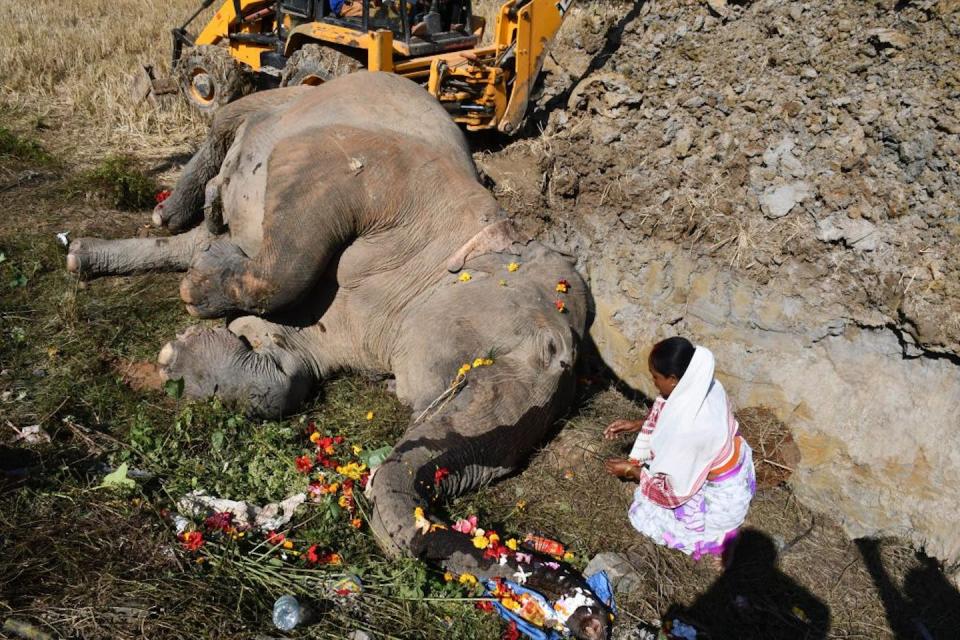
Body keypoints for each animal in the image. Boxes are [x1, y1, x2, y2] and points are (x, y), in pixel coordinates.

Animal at [67, 72, 612, 636]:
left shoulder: (352, 329)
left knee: (191, 239)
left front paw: (184, 350)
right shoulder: (376, 175)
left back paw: (95, 255)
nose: (592, 618)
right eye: (553, 351)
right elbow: (289, 250)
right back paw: (182, 210)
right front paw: (198, 295)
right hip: (291, 96)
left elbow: (288, 372)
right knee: (228, 123)